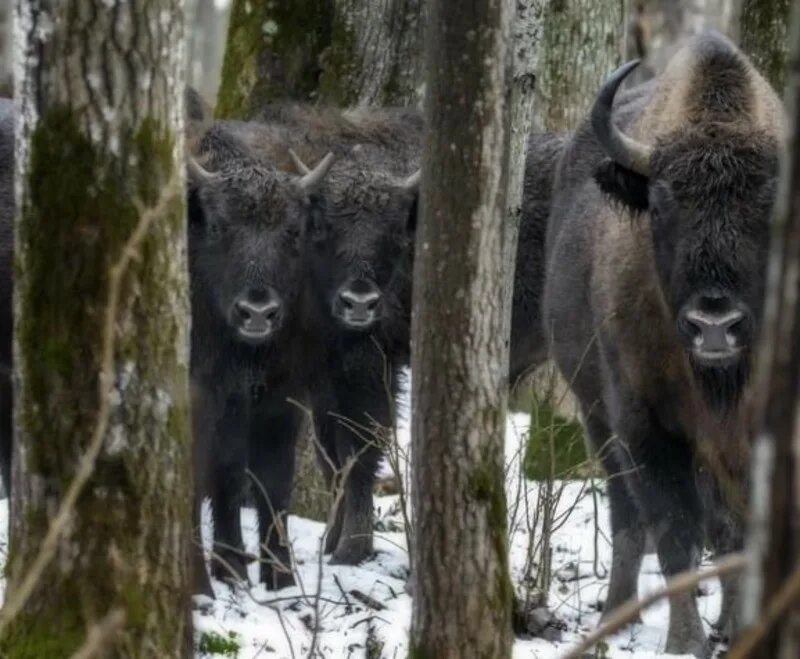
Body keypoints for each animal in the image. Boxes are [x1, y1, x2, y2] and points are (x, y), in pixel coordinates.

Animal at [189, 121, 332, 596]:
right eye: (218, 226)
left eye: (292, 232)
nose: (257, 311)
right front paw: (206, 580)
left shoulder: (278, 397)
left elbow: (270, 481)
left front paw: (280, 576)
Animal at [540, 32, 784, 656]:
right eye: (663, 202)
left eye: (770, 207)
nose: (714, 324)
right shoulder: (645, 425)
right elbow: (675, 532)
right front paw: (684, 641)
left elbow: (739, 530)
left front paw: (740, 628)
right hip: (596, 414)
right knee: (628, 516)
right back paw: (616, 614)